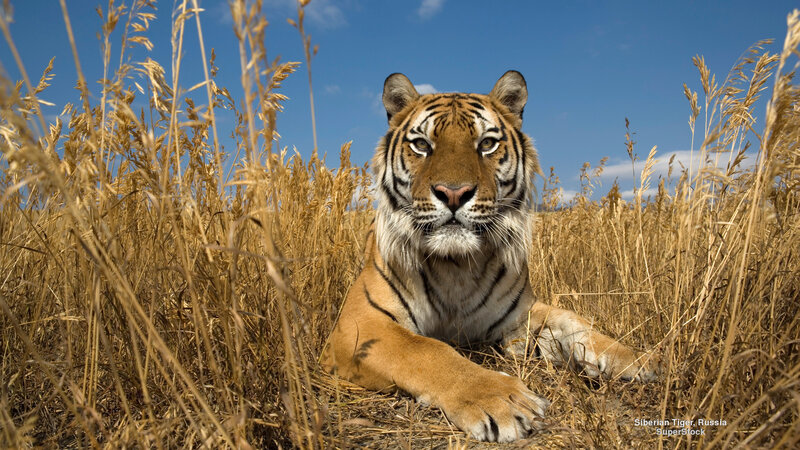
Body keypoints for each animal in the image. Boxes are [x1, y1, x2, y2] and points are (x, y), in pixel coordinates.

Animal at [321, 71, 660, 443]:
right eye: (422, 145)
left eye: (486, 144)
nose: (453, 193)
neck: (455, 265)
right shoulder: (360, 323)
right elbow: (427, 350)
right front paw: (504, 401)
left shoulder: (519, 318)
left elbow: (575, 323)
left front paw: (637, 359)